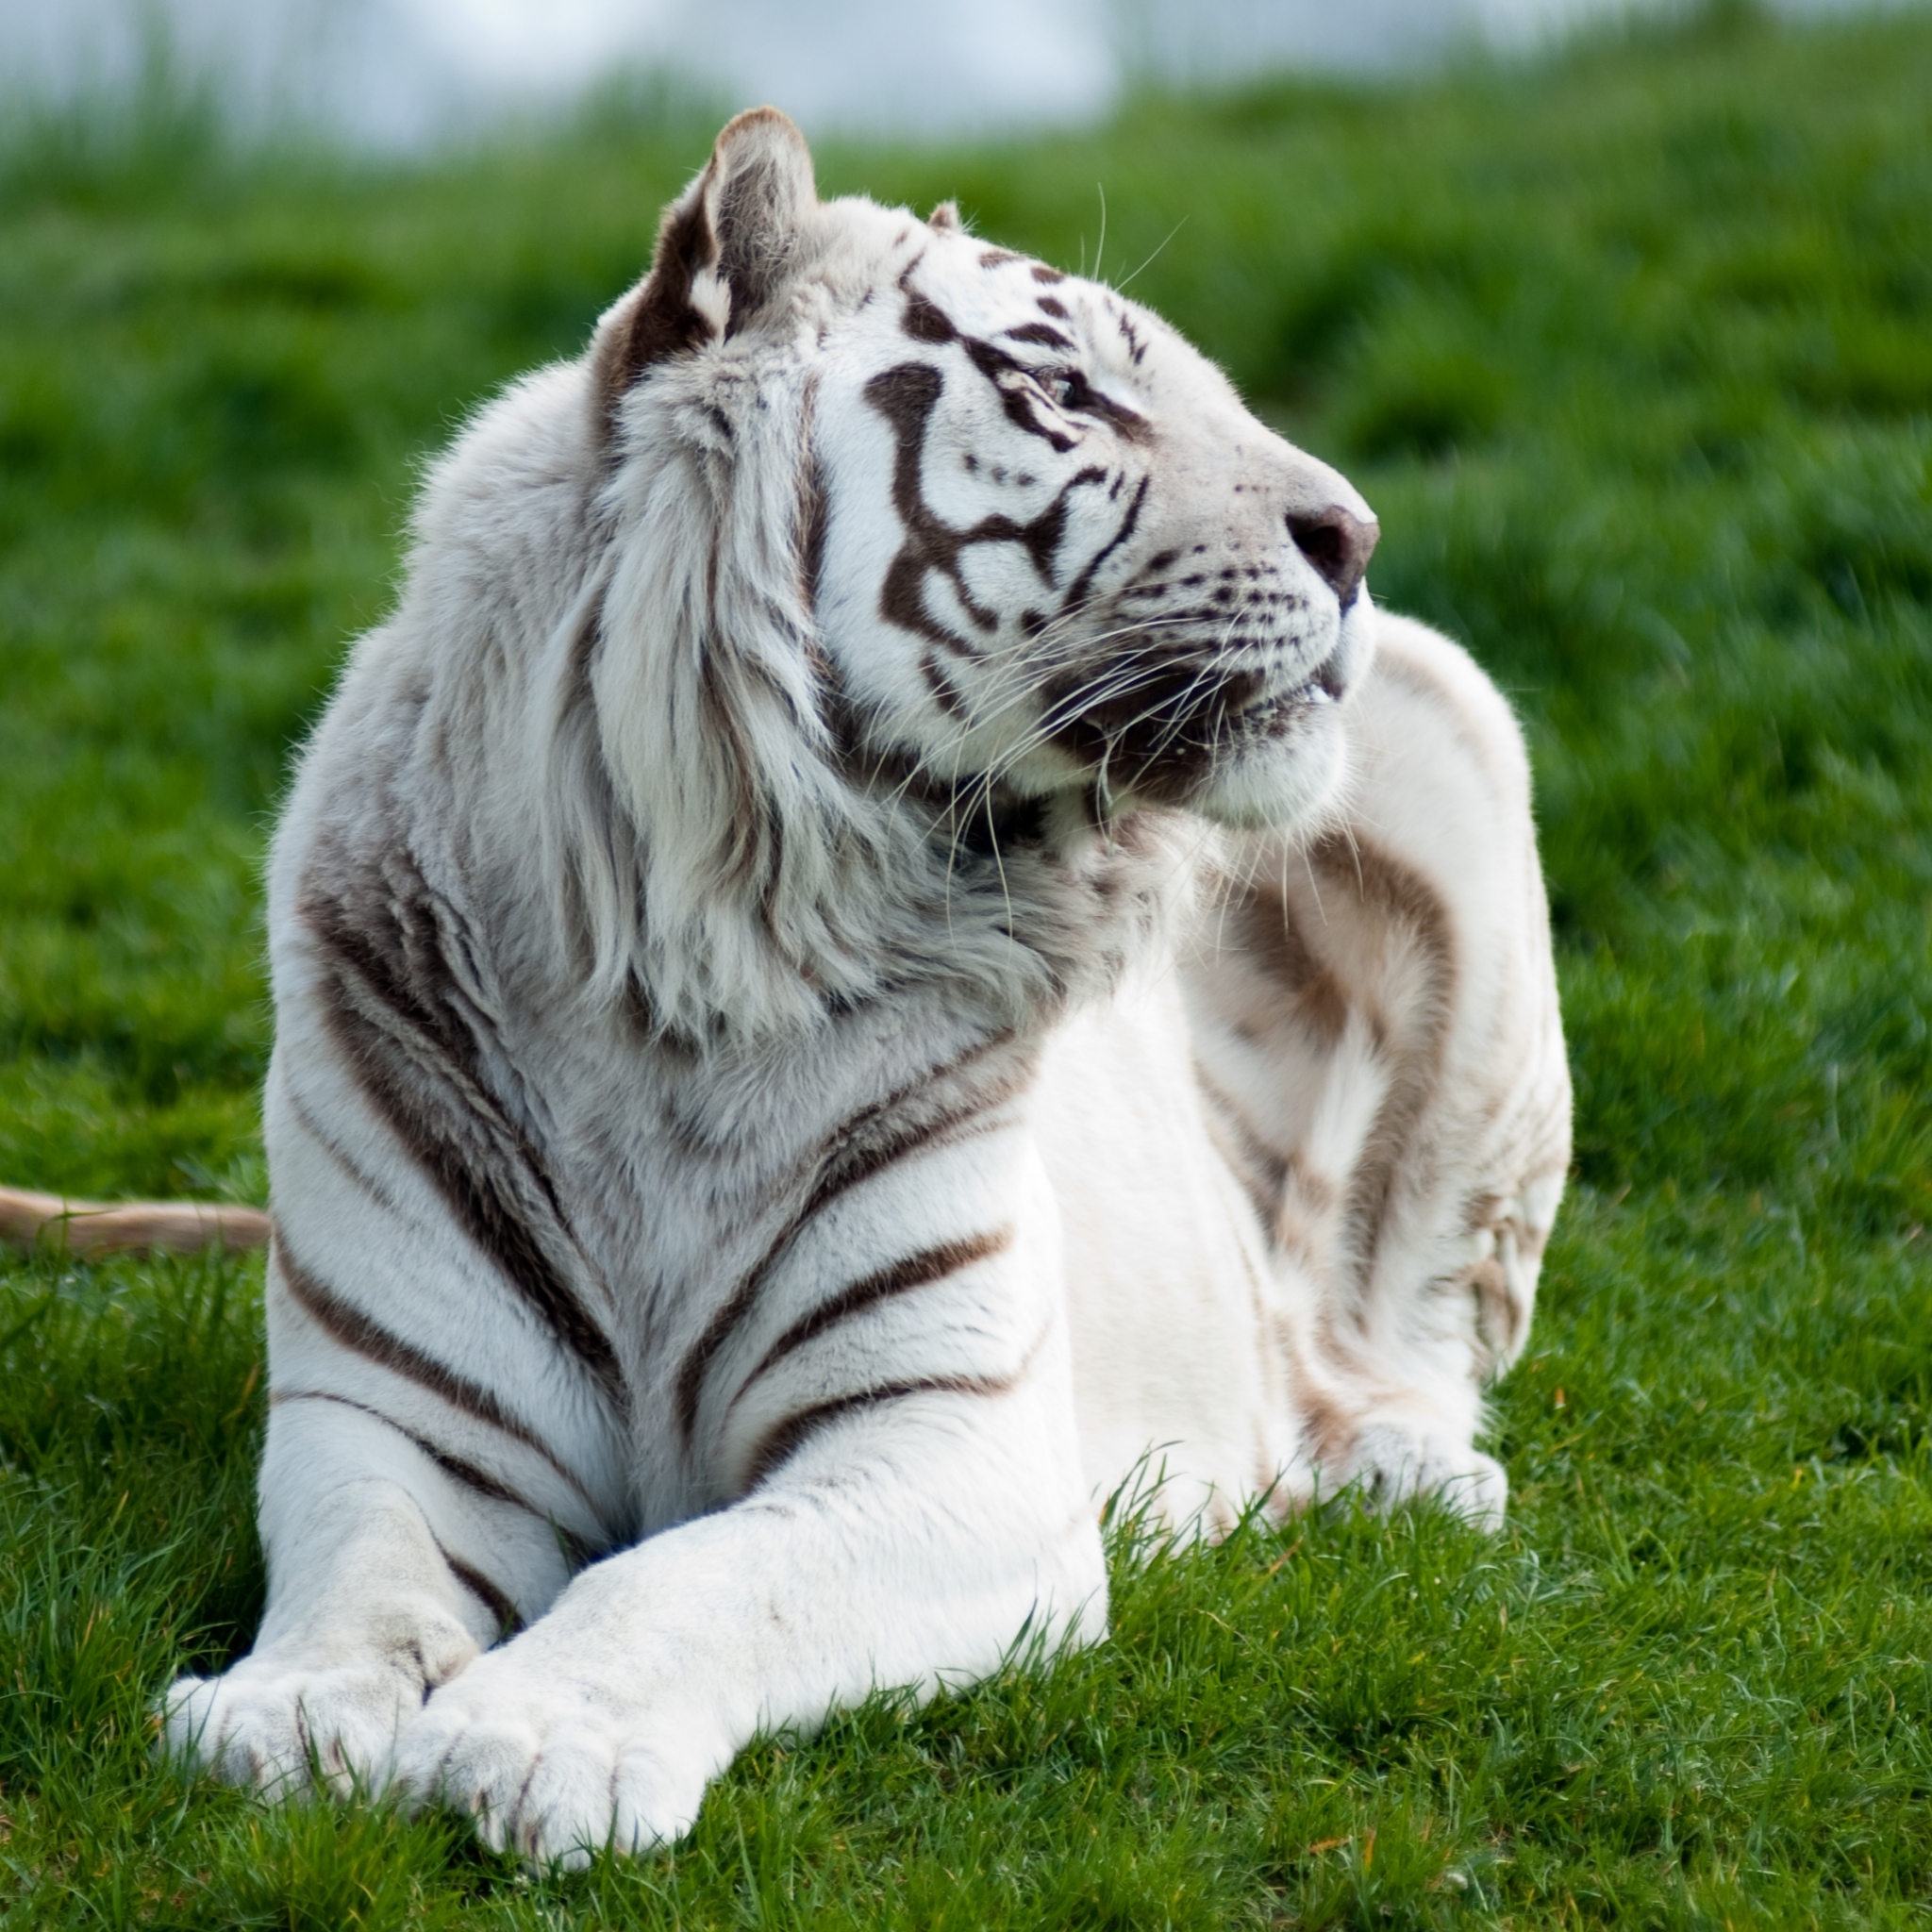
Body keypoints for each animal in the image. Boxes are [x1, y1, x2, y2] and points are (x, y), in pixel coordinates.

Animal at [154, 109, 1568, 1870]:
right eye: (1070, 392)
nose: (1358, 539)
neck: (690, 974)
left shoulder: (951, 1446)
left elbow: (693, 1574)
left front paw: (533, 1738)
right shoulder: (396, 1412)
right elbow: (365, 1570)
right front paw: (284, 1711)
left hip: (1454, 734)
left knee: (1410, 1327)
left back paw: (1399, 1469)